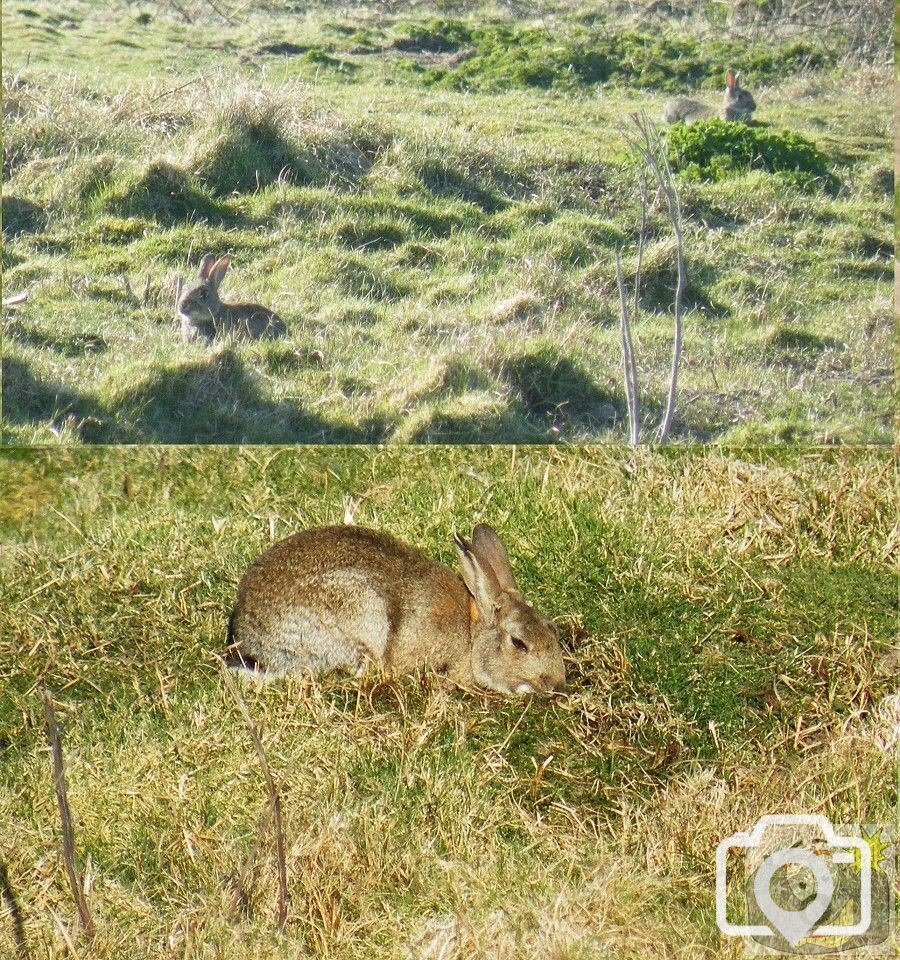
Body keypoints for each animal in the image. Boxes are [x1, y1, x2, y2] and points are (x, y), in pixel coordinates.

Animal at [224, 520, 568, 692]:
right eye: (519, 643)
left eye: (552, 629)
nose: (557, 684)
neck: (473, 633)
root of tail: (251, 635)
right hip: (362, 614)